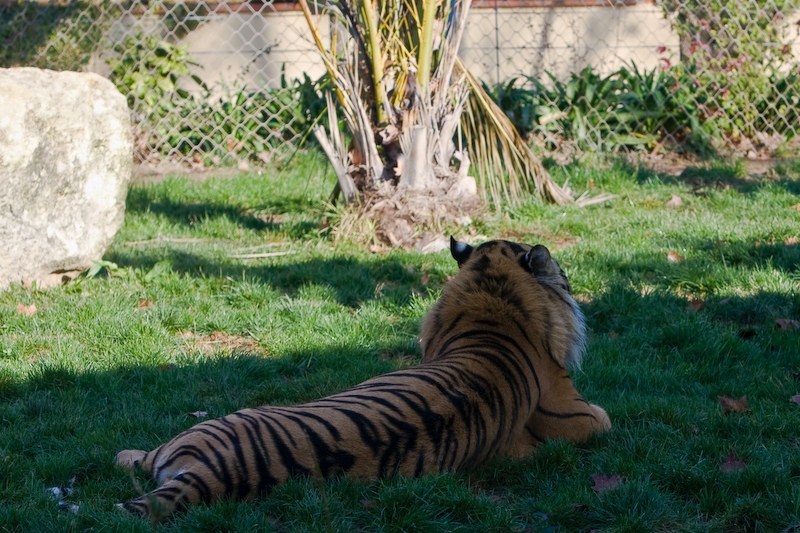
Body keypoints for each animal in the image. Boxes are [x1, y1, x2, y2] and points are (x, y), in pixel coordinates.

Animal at [115, 237, 610, 520]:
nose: (568, 276)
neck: (491, 298)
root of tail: (212, 473)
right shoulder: (577, 413)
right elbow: (605, 417)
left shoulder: (574, 414)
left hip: (211, 424)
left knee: (132, 458)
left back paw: (124, 452)